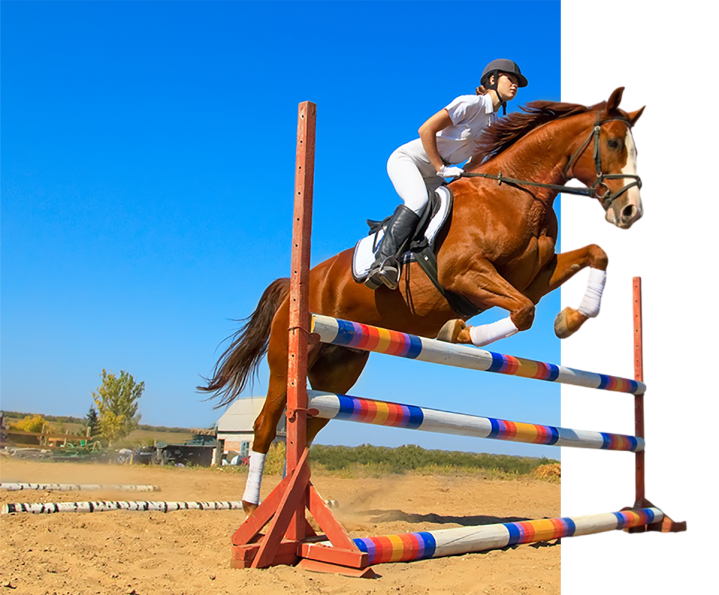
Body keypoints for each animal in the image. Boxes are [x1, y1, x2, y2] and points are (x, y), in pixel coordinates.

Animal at [199, 86, 645, 515]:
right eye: (612, 143)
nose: (631, 212)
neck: (514, 194)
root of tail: (295, 285)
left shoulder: (534, 276)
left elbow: (594, 255)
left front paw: (572, 318)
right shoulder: (464, 273)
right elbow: (523, 311)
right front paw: (457, 332)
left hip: (337, 373)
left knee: (306, 429)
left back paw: (305, 512)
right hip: (286, 361)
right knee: (266, 423)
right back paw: (254, 507)